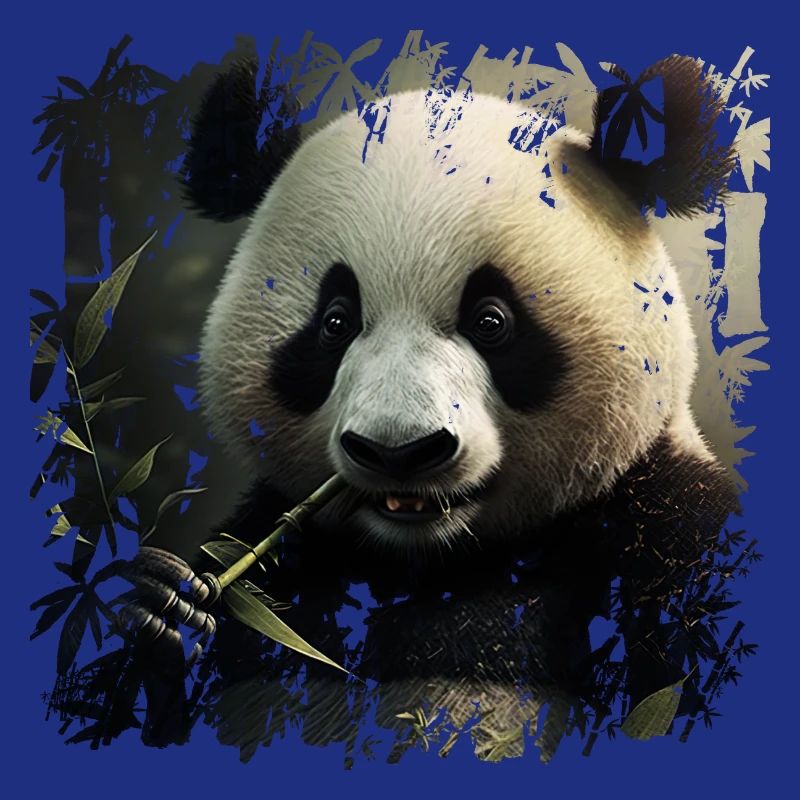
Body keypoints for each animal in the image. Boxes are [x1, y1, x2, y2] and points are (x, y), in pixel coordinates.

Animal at [126, 55, 740, 748]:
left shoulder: (663, 537)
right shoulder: (284, 558)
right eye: (335, 322)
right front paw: (169, 610)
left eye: (492, 320)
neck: (436, 561)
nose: (399, 451)